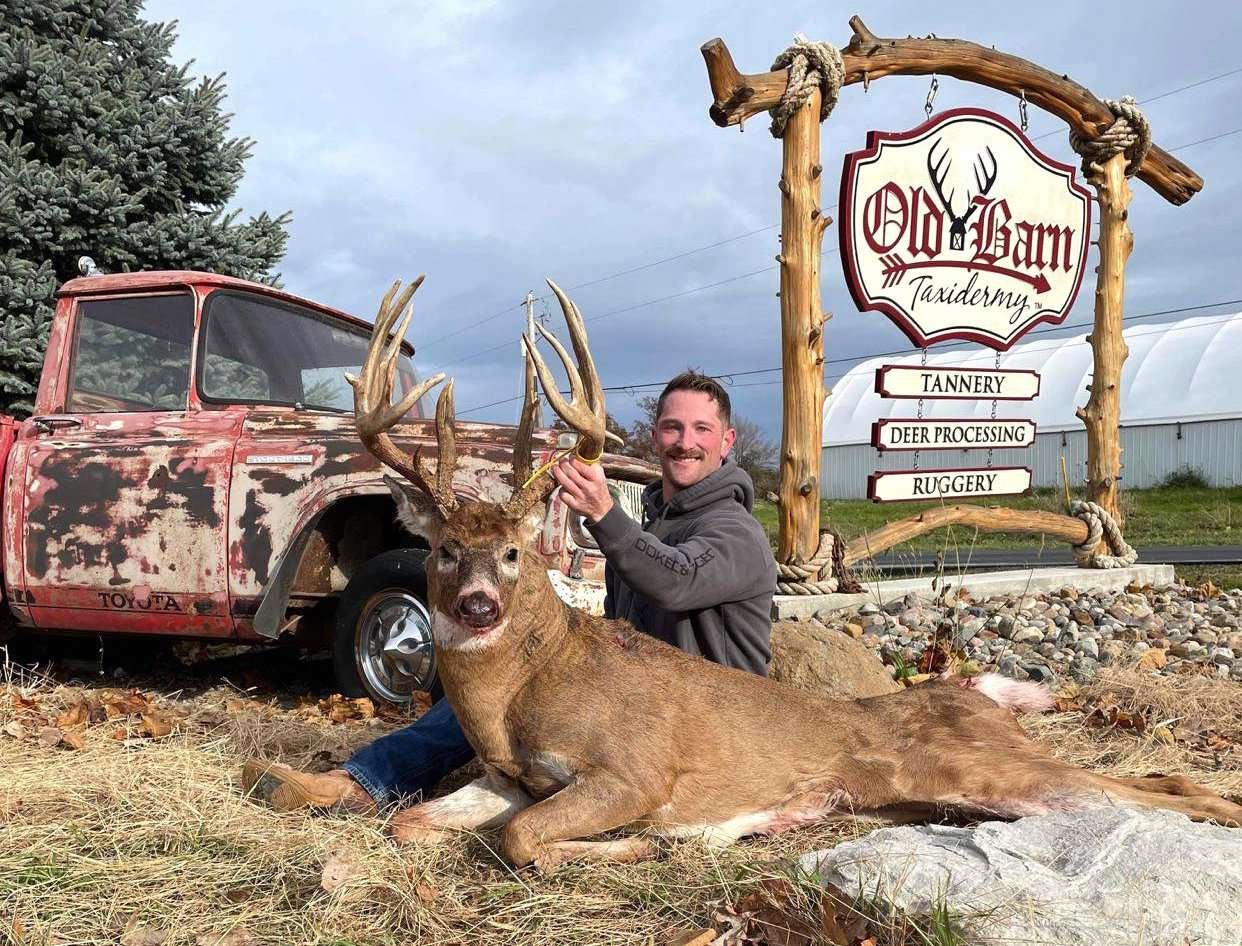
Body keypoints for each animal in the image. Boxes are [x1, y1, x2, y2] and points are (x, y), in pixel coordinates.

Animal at [350, 273, 1242, 869]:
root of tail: (977, 695)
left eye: (512, 552)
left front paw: (644, 847)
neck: (515, 698)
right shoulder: (512, 779)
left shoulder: (633, 771)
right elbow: (415, 821)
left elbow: (520, 839)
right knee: (1161, 776)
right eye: (443, 550)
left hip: (988, 766)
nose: (475, 605)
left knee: (1168, 793)